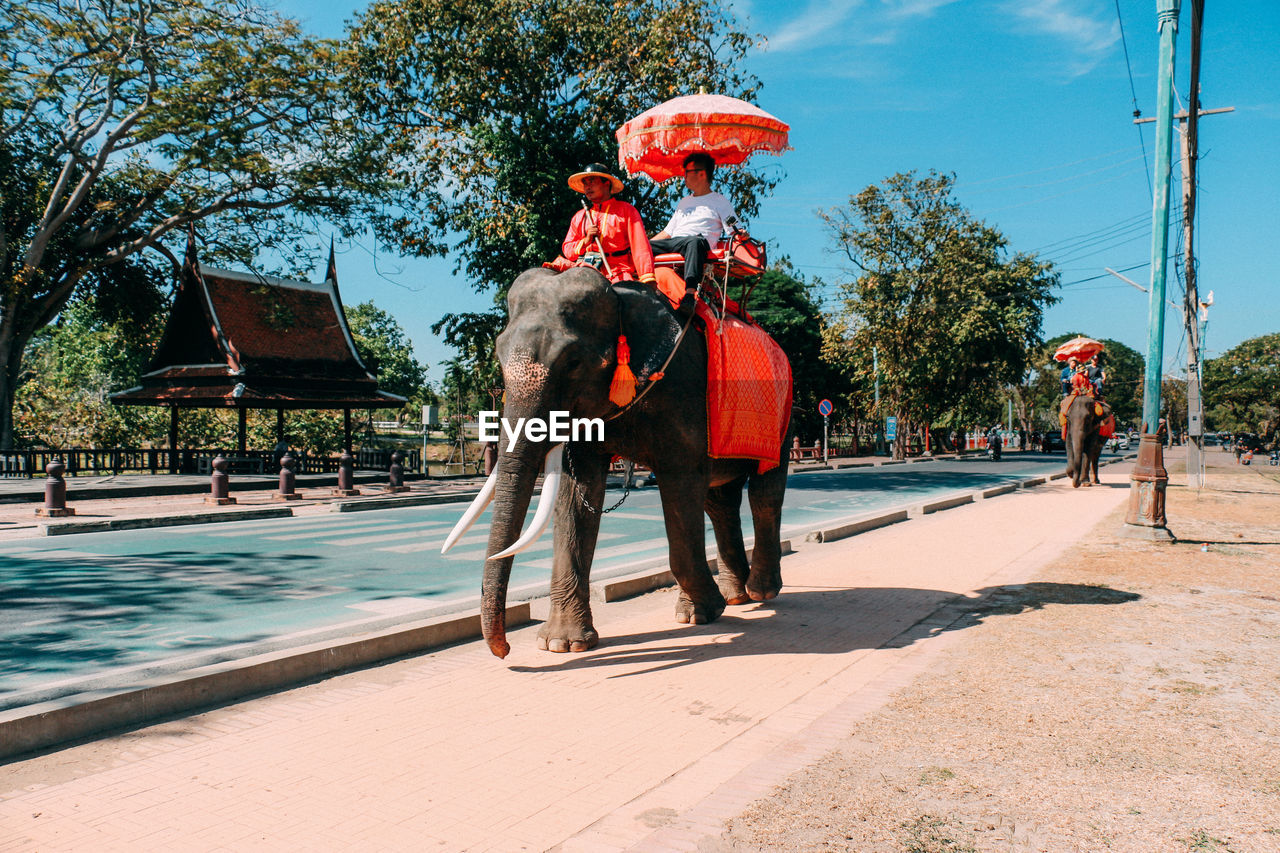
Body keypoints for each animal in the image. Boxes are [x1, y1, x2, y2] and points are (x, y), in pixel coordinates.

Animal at [445, 267, 793, 655]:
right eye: (499, 356)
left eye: (573, 362)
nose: (504, 650)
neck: (621, 300)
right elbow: (576, 496)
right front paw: (562, 644)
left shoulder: (682, 392)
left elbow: (681, 483)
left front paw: (705, 613)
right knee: (720, 502)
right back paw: (736, 597)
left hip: (783, 412)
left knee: (764, 492)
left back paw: (760, 591)